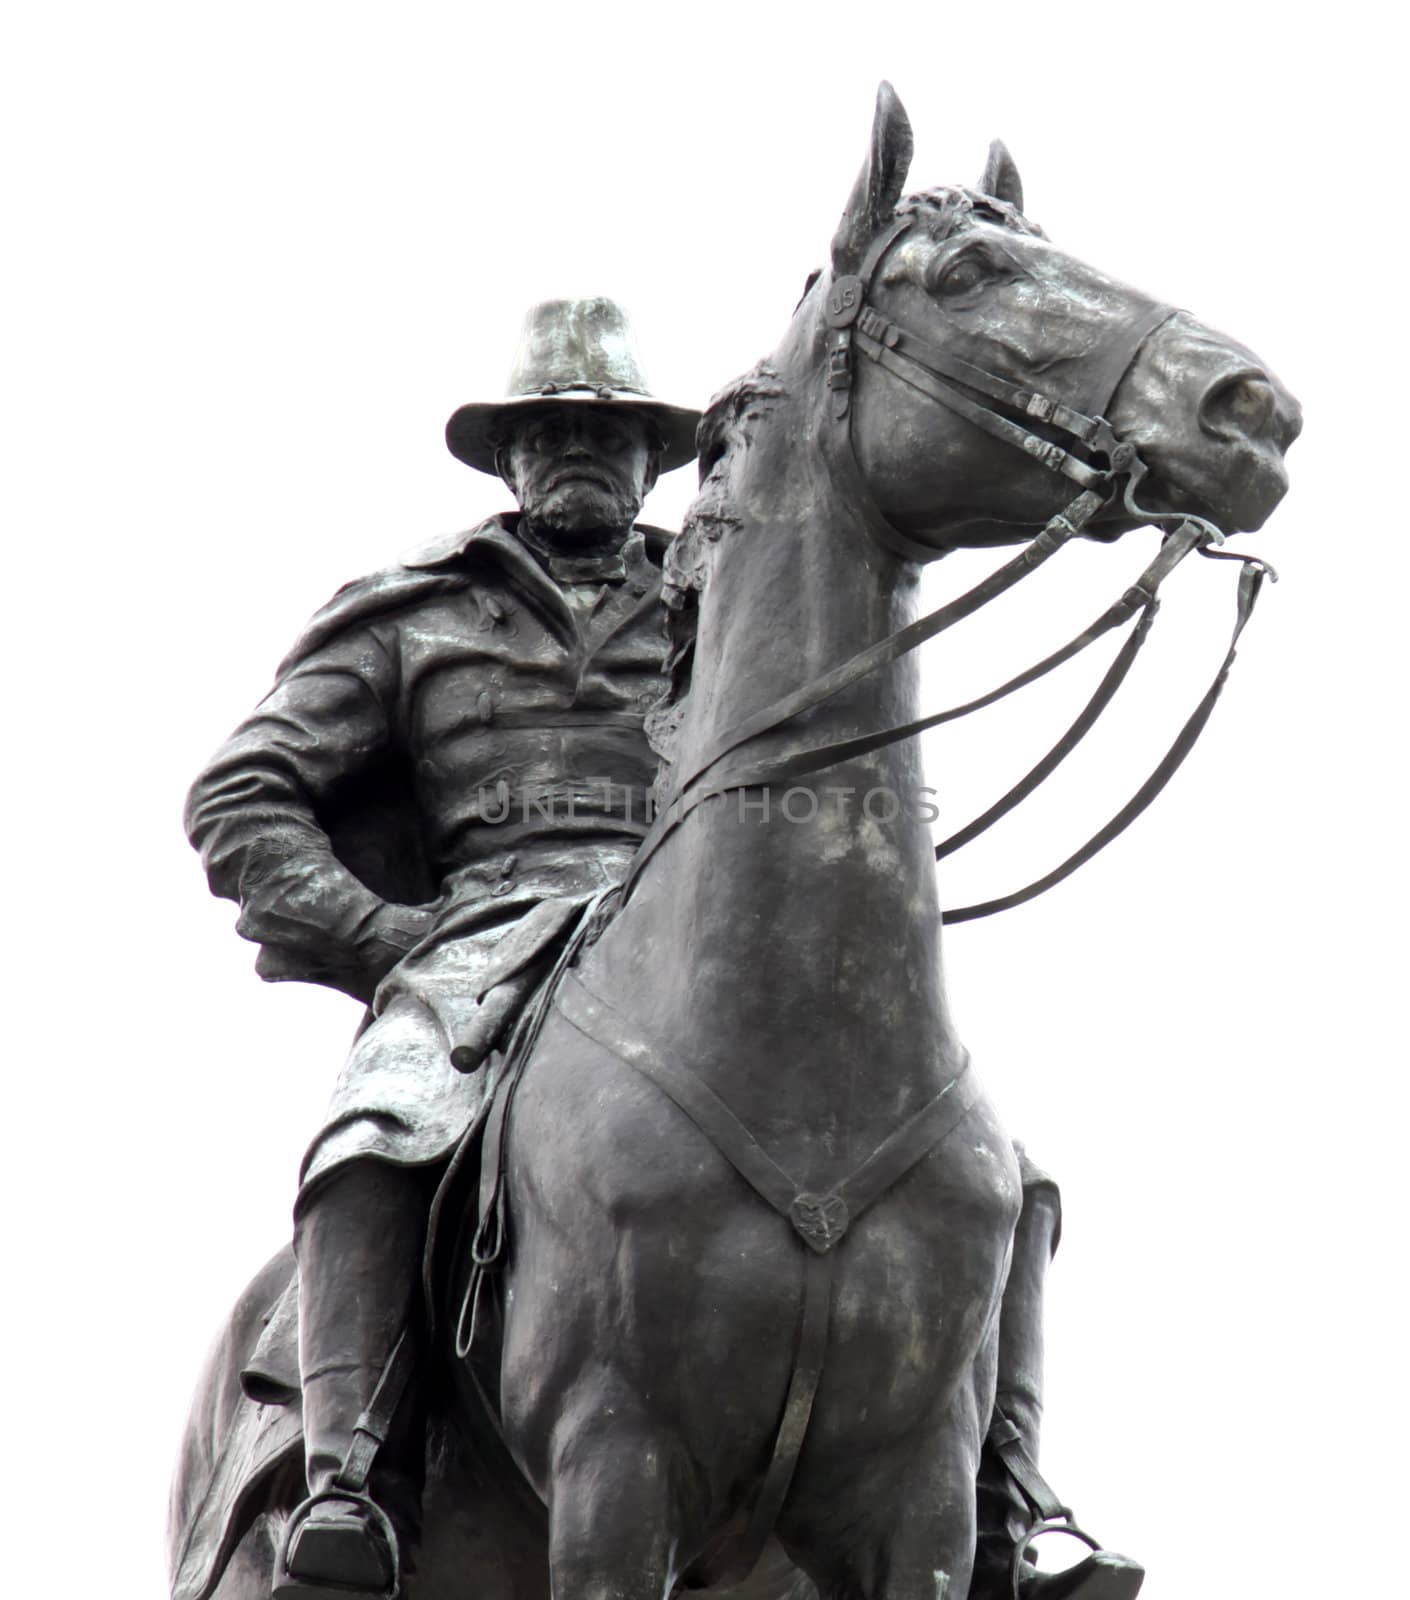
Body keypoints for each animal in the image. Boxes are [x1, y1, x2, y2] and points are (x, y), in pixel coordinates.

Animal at [170, 84, 1305, 1600]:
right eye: (965, 275)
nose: (1253, 410)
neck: (805, 1050)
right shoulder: (618, 1473)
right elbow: (249, 790)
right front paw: (420, 935)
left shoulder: (918, 1503)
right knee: (374, 1148)